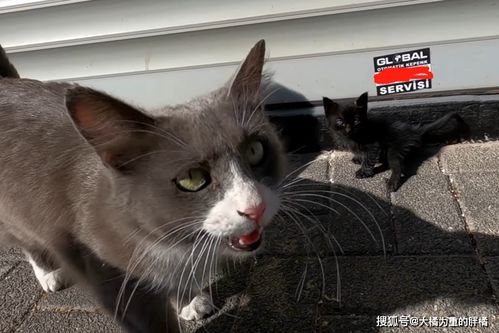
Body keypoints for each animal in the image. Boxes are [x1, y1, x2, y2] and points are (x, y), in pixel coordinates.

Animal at [0, 40, 288, 330]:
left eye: (255, 150)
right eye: (191, 179)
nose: (255, 208)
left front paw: (190, 301)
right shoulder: (112, 278)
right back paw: (50, 273)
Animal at [322, 92, 470, 191]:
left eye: (356, 120)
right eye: (340, 121)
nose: (348, 129)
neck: (354, 136)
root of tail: (412, 130)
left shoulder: (373, 145)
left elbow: (369, 158)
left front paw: (363, 172)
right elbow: (360, 153)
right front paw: (357, 158)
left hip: (394, 149)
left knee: (397, 167)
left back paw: (392, 183)